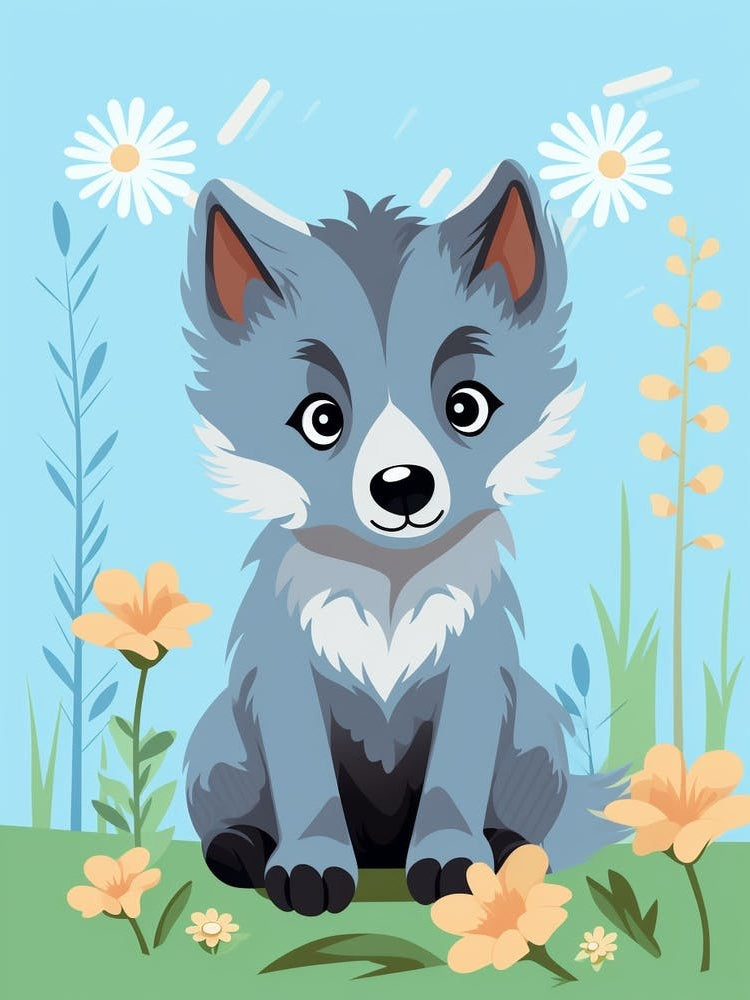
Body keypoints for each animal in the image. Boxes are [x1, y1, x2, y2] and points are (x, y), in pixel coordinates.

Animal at [182, 160, 622, 916]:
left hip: (537, 733)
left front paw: (456, 864)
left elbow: (453, 782)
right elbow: (306, 783)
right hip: (219, 744)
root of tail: (380, 846)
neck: (388, 583)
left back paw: (508, 848)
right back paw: (241, 849)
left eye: (466, 408)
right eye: (321, 418)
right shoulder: (284, 677)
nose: (403, 487)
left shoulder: (476, 673)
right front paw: (309, 868)